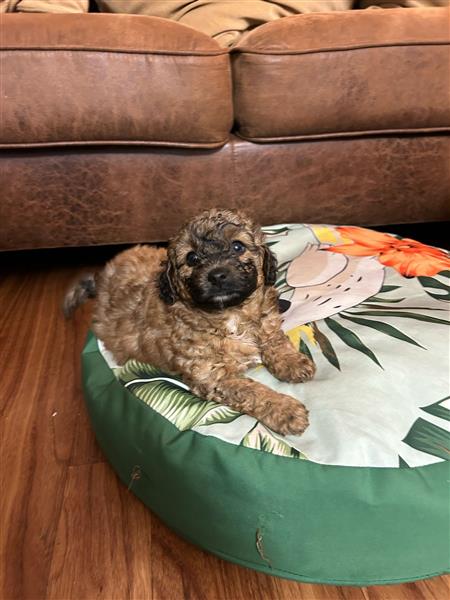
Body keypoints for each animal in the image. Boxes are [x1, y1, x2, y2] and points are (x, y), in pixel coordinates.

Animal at [65, 209, 314, 434]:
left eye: (237, 246)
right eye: (192, 258)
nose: (217, 275)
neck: (230, 314)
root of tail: (101, 280)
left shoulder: (265, 322)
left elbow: (274, 339)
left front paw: (292, 363)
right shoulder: (213, 376)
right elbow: (251, 390)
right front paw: (285, 409)